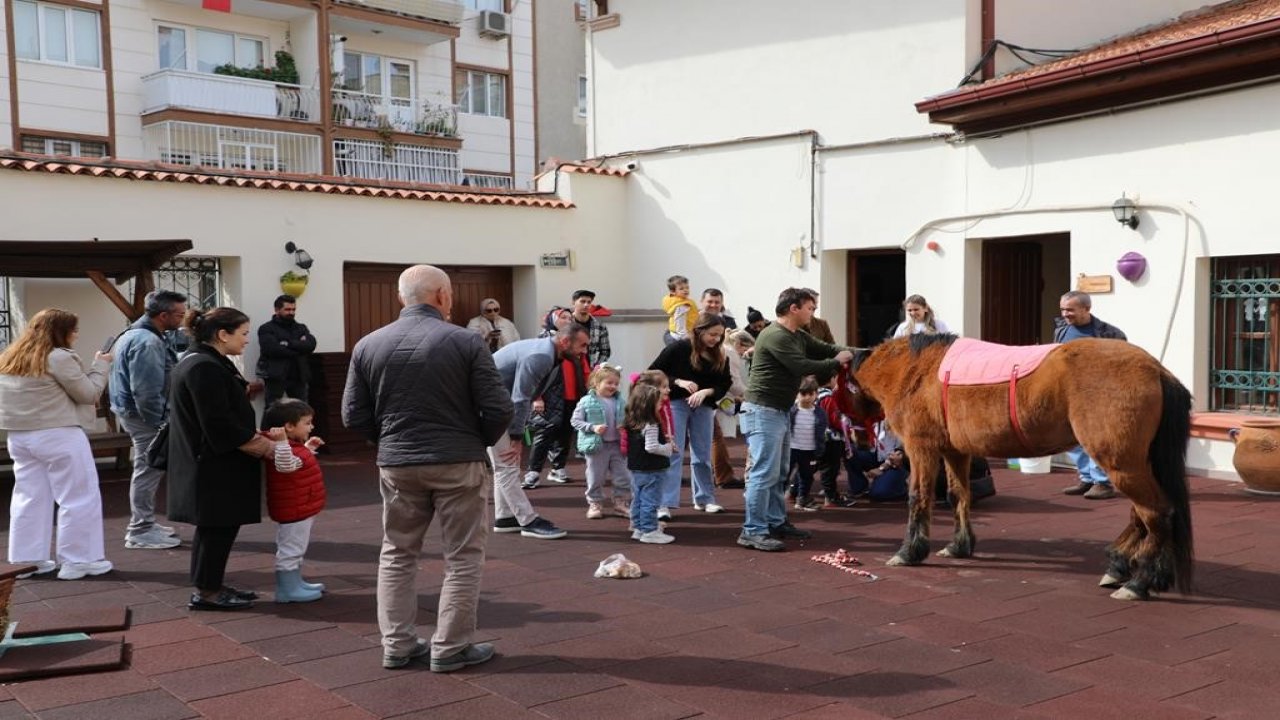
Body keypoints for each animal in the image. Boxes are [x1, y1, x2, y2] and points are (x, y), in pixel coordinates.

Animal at [855, 333, 1192, 597]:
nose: (858, 440)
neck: (915, 369)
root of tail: (1157, 370)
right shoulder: (955, 452)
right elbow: (958, 496)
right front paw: (960, 545)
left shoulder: (921, 448)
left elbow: (919, 498)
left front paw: (909, 552)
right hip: (1135, 463)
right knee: (1146, 514)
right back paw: (1127, 566)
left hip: (1120, 464)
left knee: (1156, 513)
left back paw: (1140, 581)